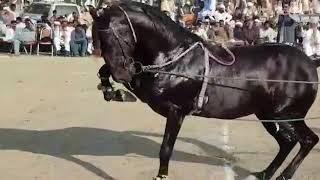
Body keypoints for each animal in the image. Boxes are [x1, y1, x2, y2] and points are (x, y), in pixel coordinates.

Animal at [91, 2, 318, 179]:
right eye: (98, 38)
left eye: (119, 35)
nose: (122, 74)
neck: (175, 56)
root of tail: (310, 62)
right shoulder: (146, 87)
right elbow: (106, 72)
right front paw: (113, 91)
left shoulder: (176, 111)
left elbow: (165, 150)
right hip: (268, 115)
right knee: (287, 142)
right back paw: (264, 173)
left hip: (287, 114)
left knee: (308, 140)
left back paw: (283, 175)